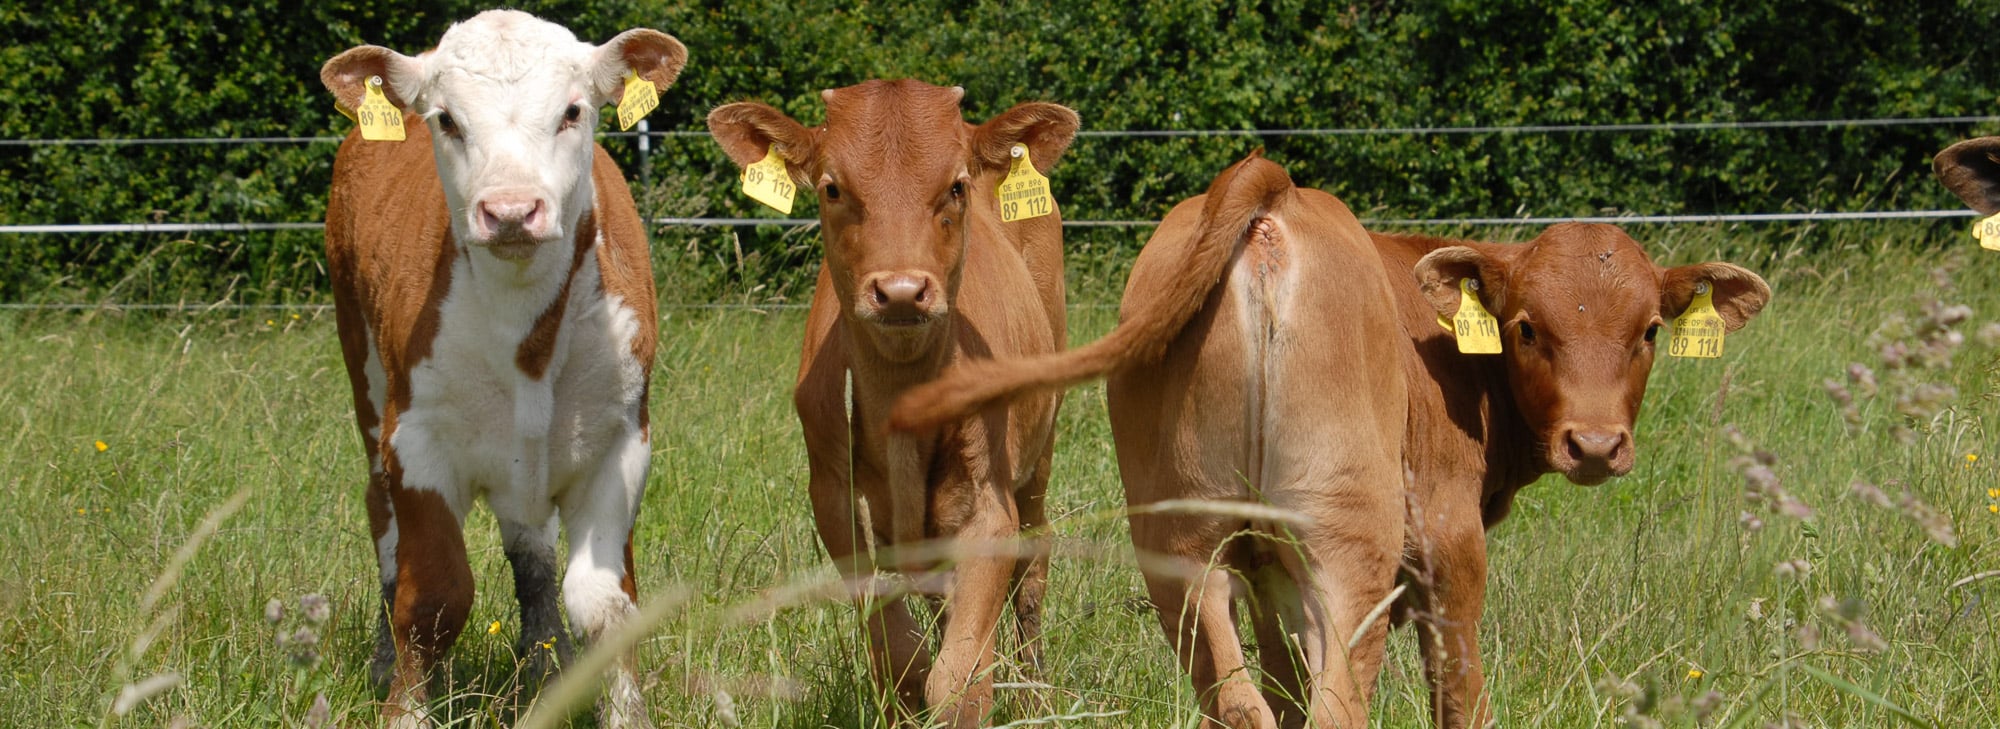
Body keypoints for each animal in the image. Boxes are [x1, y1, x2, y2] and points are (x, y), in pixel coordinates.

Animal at [316, 9, 684, 724]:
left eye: (572, 110)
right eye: (446, 118)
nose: (511, 210)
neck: (527, 340)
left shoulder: (621, 441)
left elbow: (602, 604)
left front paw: (620, 708)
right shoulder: (417, 441)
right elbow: (433, 598)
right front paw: (405, 708)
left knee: (531, 549)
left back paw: (546, 662)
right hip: (364, 373)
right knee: (384, 526)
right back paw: (383, 662)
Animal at [704, 77, 1080, 724]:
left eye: (956, 185)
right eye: (832, 187)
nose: (901, 290)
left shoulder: (990, 504)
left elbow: (958, 679)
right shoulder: (834, 499)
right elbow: (902, 660)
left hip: (1041, 447)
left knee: (1032, 564)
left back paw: (1034, 692)